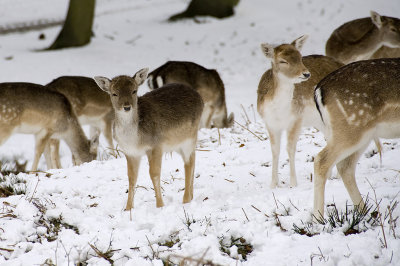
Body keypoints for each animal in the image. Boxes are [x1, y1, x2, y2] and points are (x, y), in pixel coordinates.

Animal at [94, 68, 203, 210]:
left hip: (190, 137)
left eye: (134, 91)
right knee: (194, 158)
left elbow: (154, 174)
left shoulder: (156, 145)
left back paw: (186, 200)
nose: (127, 107)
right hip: (178, 143)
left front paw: (160, 205)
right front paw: (128, 208)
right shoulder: (130, 152)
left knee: (188, 163)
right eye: (114, 94)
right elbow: (131, 177)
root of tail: (200, 97)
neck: (134, 140)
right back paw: (191, 196)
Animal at [258, 35, 342, 188]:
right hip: (320, 121)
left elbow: (290, 149)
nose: (306, 74)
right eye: (283, 61)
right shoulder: (270, 123)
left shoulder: (296, 119)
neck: (280, 112)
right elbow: (275, 150)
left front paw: (293, 183)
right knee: (331, 139)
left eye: (300, 57)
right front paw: (273, 184)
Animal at [312, 57, 400, 218]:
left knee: (345, 166)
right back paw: (318, 219)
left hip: (362, 134)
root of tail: (318, 90)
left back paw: (364, 211)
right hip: (352, 128)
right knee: (322, 160)